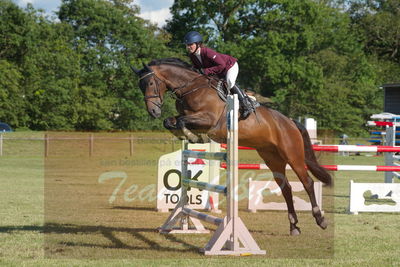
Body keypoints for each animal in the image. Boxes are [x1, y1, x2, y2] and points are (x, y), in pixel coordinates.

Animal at [131, 58, 332, 237]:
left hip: (293, 155)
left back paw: (320, 219)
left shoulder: (208, 119)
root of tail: (290, 122)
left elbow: (181, 121)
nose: (153, 111)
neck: (191, 88)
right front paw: (188, 135)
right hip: (272, 158)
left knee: (307, 182)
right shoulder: (189, 118)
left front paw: (192, 136)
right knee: (286, 188)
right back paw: (294, 226)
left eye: (150, 82)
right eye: (141, 86)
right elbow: (171, 121)